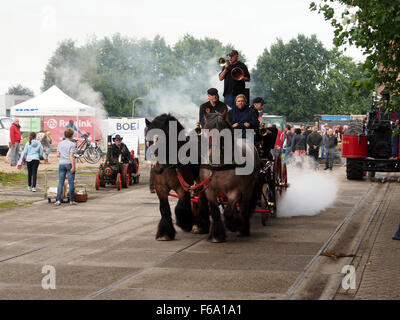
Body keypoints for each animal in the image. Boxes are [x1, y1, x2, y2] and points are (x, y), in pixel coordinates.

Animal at [198, 112, 260, 242]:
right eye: (206, 131)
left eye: (223, 132)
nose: (214, 156)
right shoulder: (209, 190)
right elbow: (215, 211)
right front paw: (217, 235)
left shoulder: (235, 190)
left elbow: (228, 212)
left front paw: (234, 224)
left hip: (249, 188)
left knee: (244, 205)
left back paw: (243, 228)